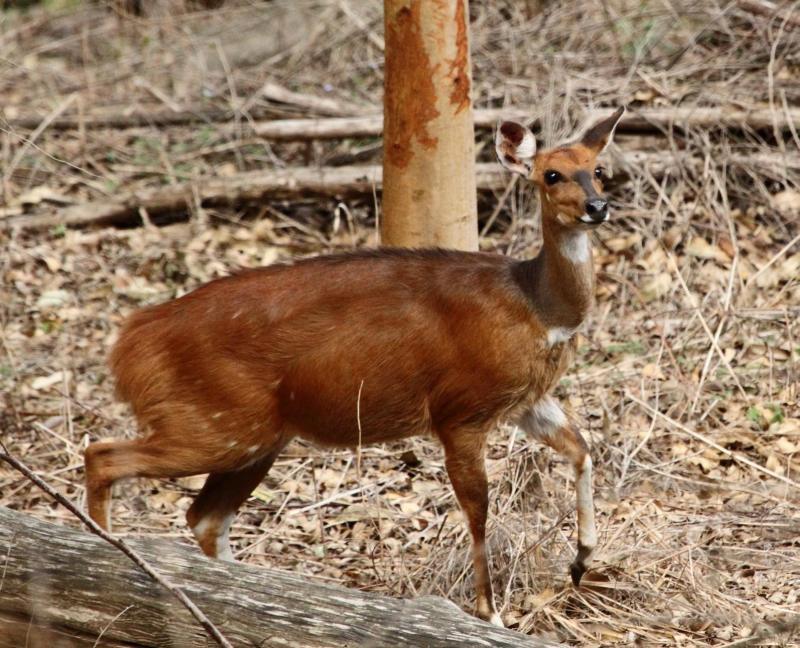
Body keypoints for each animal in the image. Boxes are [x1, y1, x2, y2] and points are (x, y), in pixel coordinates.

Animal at [86, 106, 624, 628]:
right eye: (551, 175)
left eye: (599, 170)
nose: (596, 207)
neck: (539, 310)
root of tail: (130, 342)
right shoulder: (460, 411)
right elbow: (478, 511)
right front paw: (490, 616)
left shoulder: (524, 400)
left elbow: (582, 449)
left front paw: (581, 560)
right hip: (217, 425)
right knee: (104, 455)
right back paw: (107, 557)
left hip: (258, 437)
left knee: (204, 516)